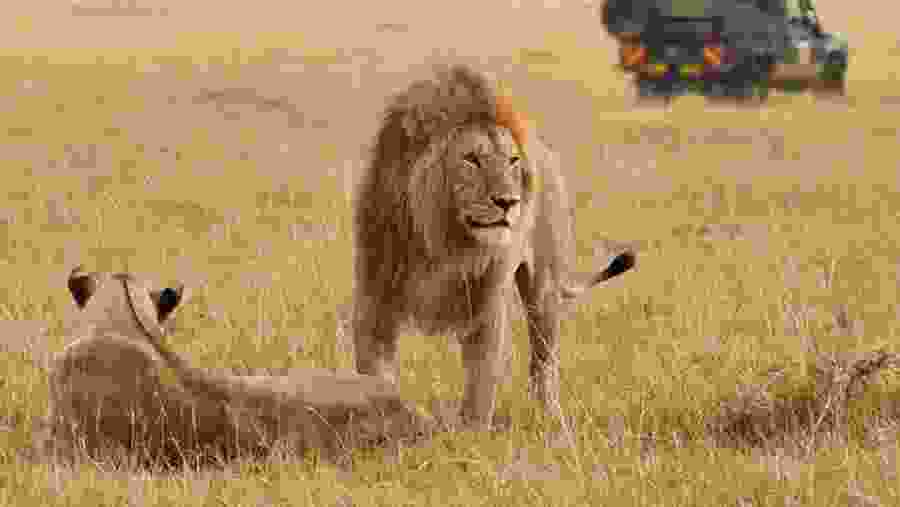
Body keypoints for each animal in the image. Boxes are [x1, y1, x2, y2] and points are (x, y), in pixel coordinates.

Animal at [353, 64, 636, 429]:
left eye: (512, 161)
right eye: (472, 159)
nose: (508, 201)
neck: (443, 244)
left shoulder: (487, 310)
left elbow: (480, 391)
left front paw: (469, 439)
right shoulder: (374, 306)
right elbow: (375, 381)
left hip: (544, 291)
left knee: (544, 366)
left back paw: (552, 422)